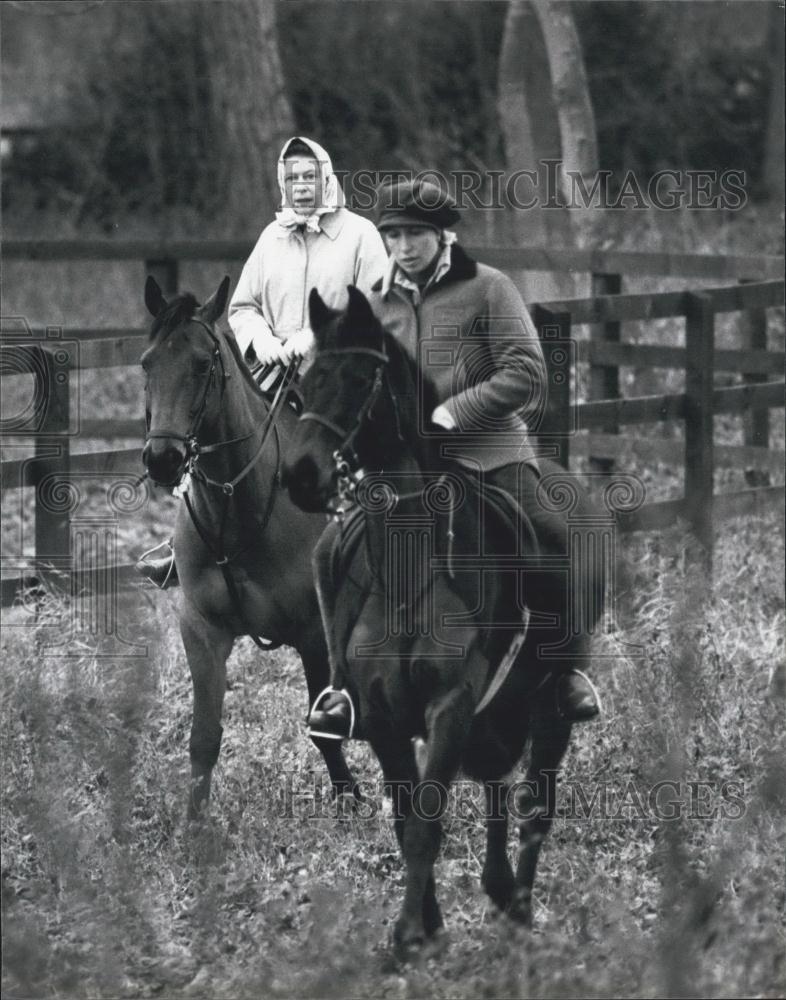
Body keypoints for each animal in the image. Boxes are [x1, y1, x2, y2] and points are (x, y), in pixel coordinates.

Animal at [140, 280, 358, 820]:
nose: (163, 459)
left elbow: (321, 729)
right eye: (147, 363)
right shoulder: (202, 633)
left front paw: (349, 797)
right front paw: (195, 826)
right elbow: (203, 739)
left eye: (202, 364)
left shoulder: (312, 633)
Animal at [284, 286, 608, 956]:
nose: (300, 475)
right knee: (497, 789)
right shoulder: (385, 718)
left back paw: (520, 907)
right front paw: (427, 928)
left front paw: (410, 933)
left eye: (360, 379)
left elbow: (428, 822)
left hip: (545, 711)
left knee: (534, 807)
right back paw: (499, 888)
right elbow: (409, 821)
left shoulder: (451, 706)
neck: (410, 575)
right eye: (301, 382)